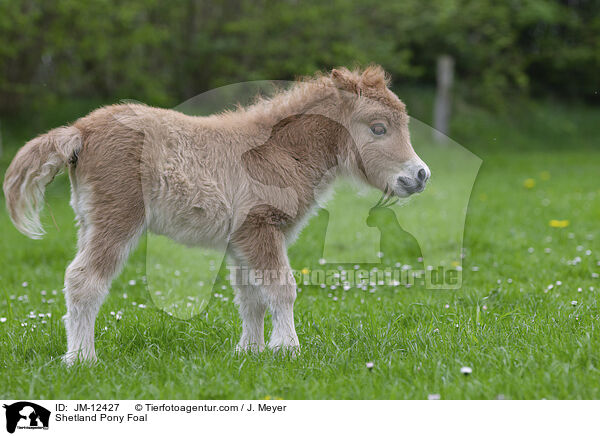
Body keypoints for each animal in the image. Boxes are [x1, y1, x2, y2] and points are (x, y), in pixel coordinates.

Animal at [3, 65, 426, 364]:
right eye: (378, 128)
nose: (420, 176)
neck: (277, 151)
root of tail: (80, 130)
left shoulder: (243, 238)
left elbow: (252, 296)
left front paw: (250, 353)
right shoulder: (262, 228)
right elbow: (282, 288)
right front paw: (288, 350)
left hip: (88, 221)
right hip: (117, 219)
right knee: (84, 279)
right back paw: (81, 359)